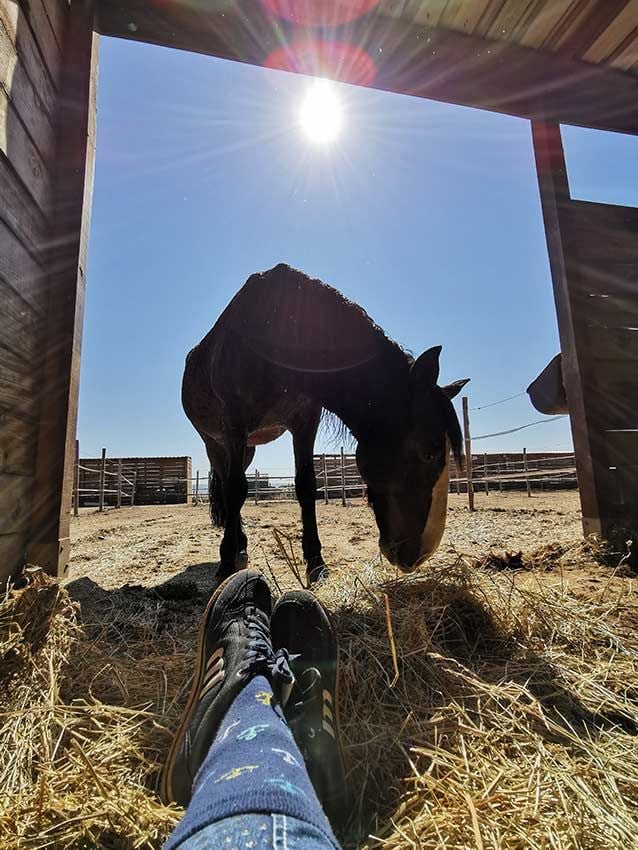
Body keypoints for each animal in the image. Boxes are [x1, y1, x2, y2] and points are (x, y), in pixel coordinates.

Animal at [181, 264, 470, 584]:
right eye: (429, 453)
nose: (420, 554)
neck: (277, 329)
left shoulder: (305, 422)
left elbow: (306, 486)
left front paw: (316, 563)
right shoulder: (234, 422)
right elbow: (235, 490)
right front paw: (226, 565)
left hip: (248, 448)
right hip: (216, 443)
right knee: (228, 484)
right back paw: (235, 550)